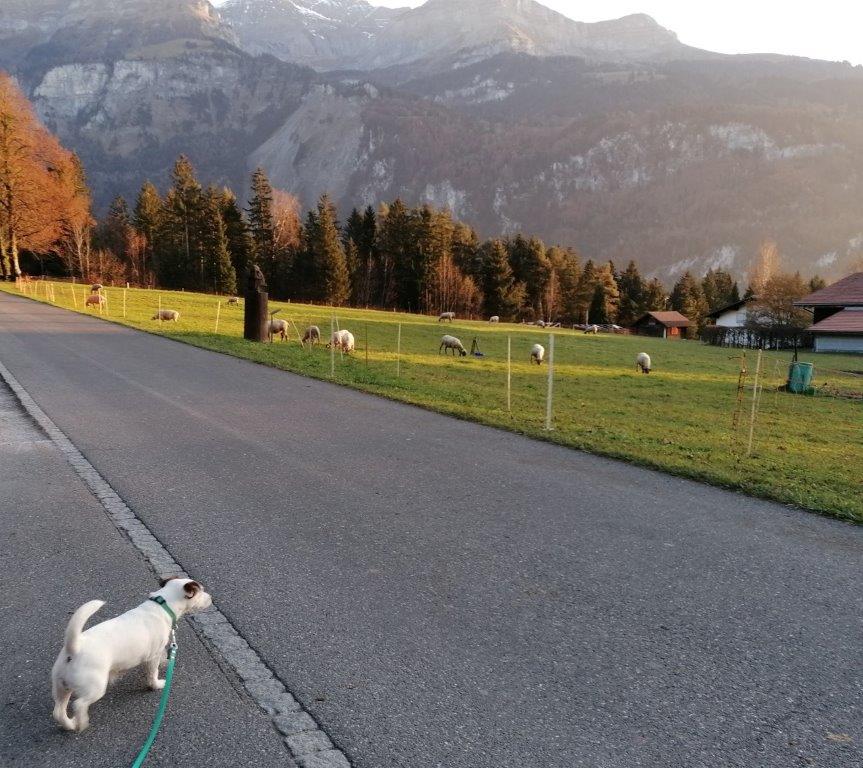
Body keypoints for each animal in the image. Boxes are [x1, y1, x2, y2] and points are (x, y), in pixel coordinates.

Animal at [51, 577, 212, 732]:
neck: (163, 604)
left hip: (61, 686)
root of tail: (74, 648)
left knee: (58, 711)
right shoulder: (153, 656)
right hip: (95, 687)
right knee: (79, 704)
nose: (211, 598)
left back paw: (70, 724)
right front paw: (156, 684)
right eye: (202, 591)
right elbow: (153, 673)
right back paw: (82, 722)